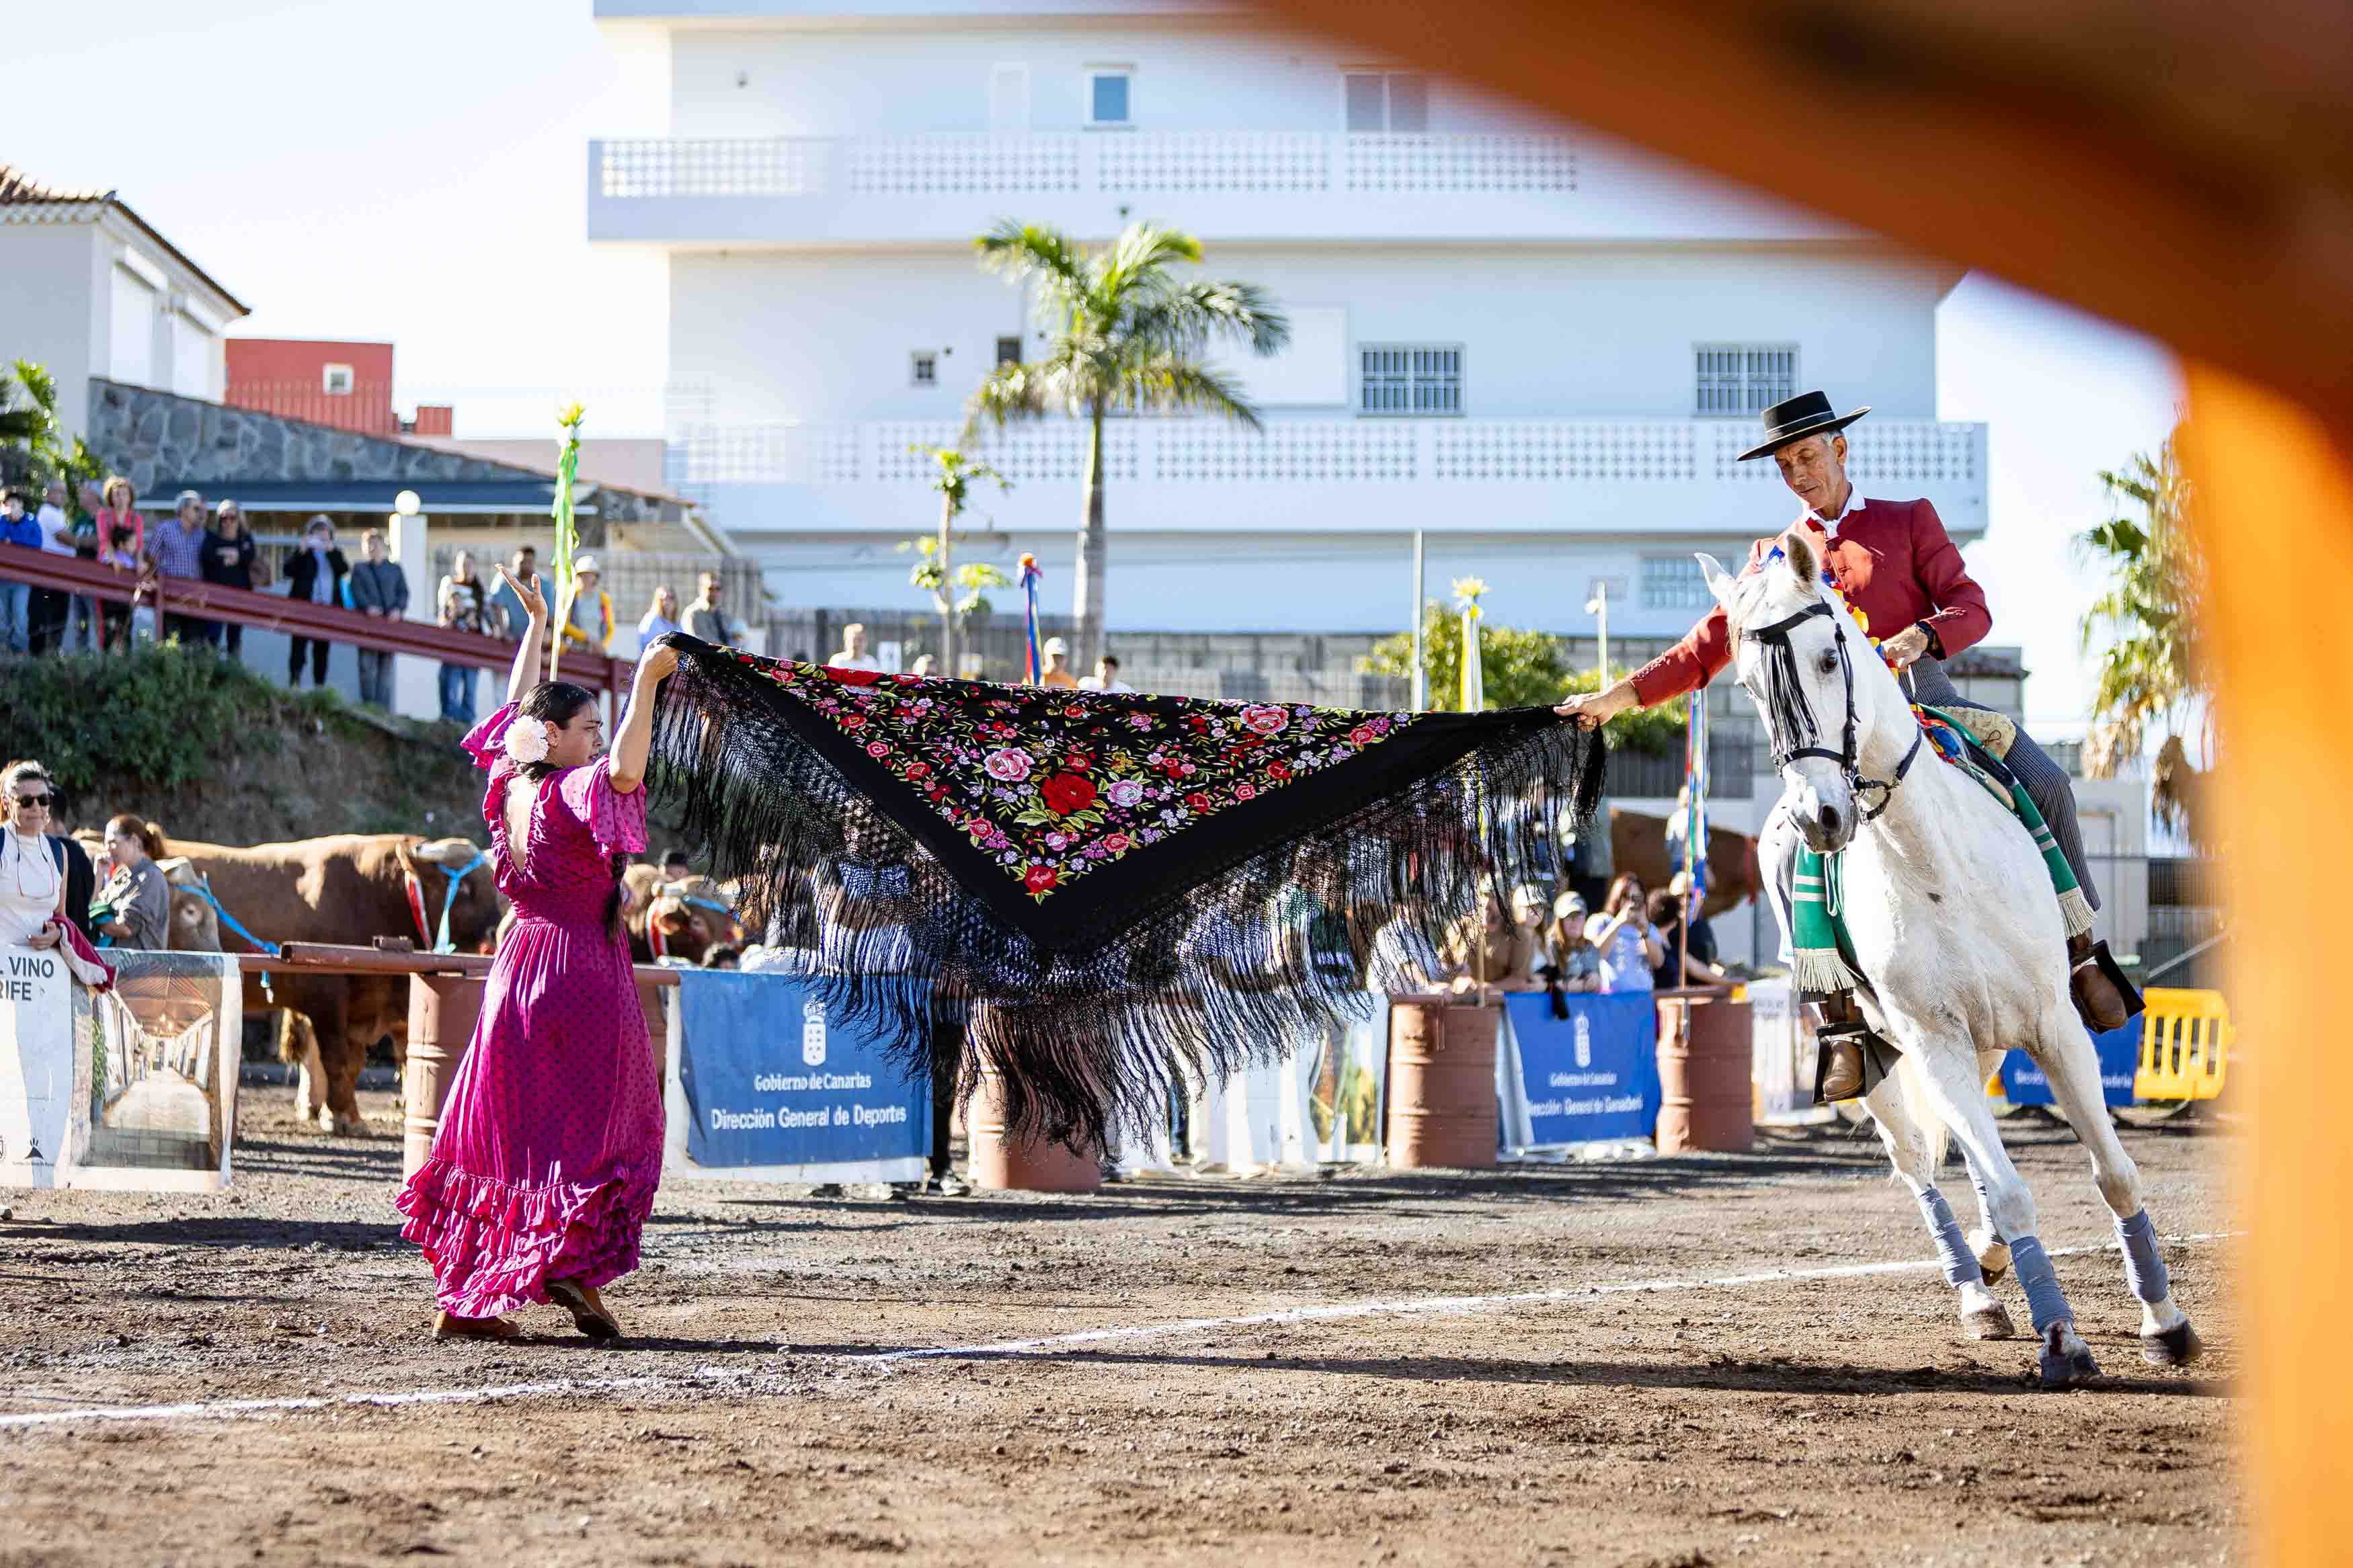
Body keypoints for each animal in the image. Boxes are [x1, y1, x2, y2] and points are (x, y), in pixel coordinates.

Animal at [1704, 536, 2193, 1382]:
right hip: (1887, 1057)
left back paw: (1996, 1267)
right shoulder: (1933, 1044)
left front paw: (2164, 1320)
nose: (1819, 815)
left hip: (1990, 1038)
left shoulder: (2054, 1026)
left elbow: (2112, 1171)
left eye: (1826, 654)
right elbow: (2009, 1187)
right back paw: (1976, 1290)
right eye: (1745, 684)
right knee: (1921, 1165)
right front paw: (2061, 1337)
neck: (1934, 861)